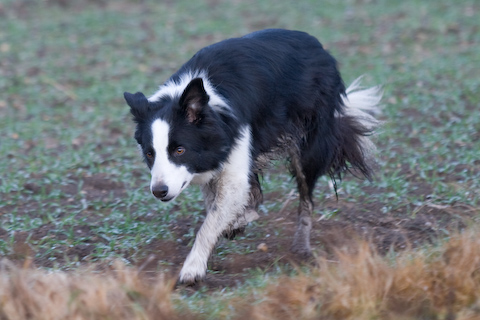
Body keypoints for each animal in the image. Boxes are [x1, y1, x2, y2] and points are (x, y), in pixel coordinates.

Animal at [124, 28, 382, 284]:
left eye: (179, 150)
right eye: (149, 154)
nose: (159, 192)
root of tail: (318, 46)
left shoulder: (235, 150)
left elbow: (211, 221)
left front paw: (192, 269)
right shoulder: (213, 161)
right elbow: (217, 205)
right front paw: (234, 224)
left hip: (308, 145)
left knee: (306, 198)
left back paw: (301, 246)